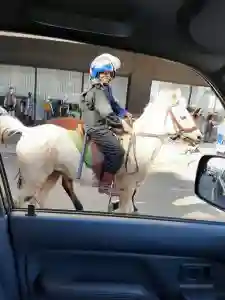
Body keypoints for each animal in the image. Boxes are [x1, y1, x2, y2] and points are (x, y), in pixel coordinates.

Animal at [0, 89, 202, 213]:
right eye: (183, 116)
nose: (199, 136)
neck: (141, 142)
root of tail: (29, 131)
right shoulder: (127, 189)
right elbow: (126, 210)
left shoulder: (127, 190)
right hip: (33, 179)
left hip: (51, 175)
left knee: (38, 201)